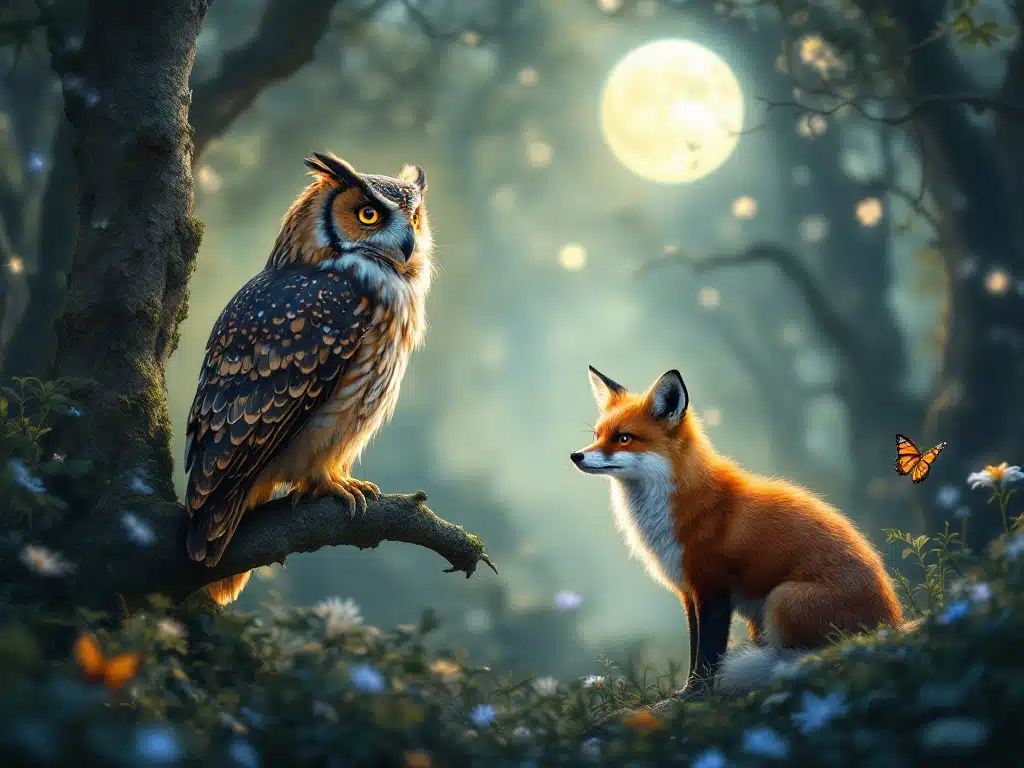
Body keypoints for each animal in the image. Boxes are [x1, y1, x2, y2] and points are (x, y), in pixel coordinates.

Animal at [570, 366, 904, 695]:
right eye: (597, 435)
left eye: (624, 438)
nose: (576, 456)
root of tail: (888, 627)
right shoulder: (689, 592)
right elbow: (695, 644)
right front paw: (688, 689)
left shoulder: (713, 587)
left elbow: (708, 651)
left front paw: (697, 691)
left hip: (782, 599)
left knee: (804, 657)